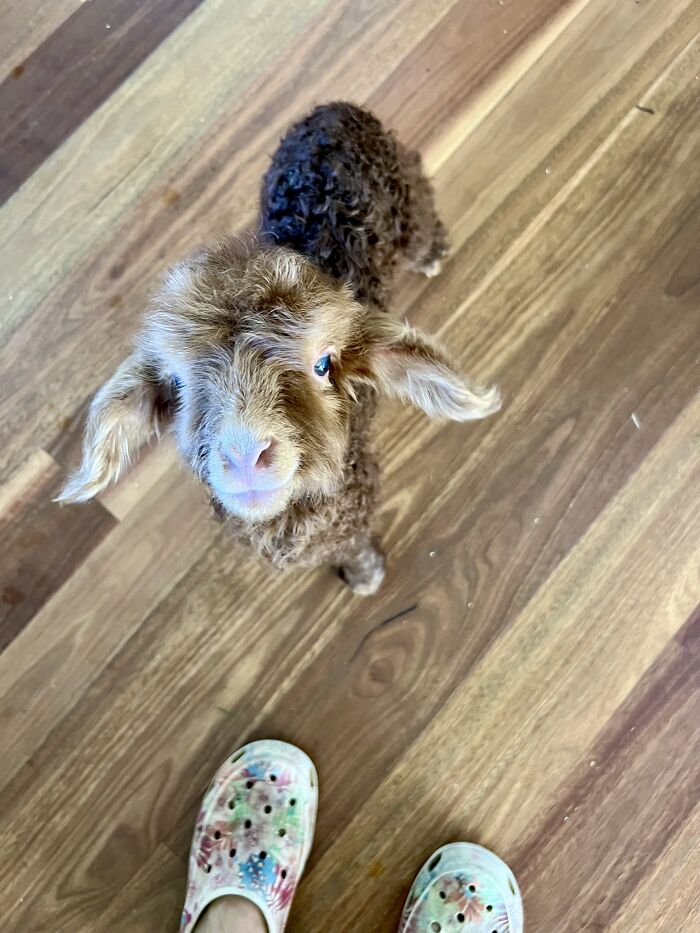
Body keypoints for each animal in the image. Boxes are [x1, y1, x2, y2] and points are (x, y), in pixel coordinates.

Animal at [59, 102, 500, 595]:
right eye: (178, 384)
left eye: (324, 364)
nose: (245, 455)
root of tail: (333, 111)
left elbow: (352, 543)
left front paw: (365, 575)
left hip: (406, 192)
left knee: (422, 221)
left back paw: (433, 255)